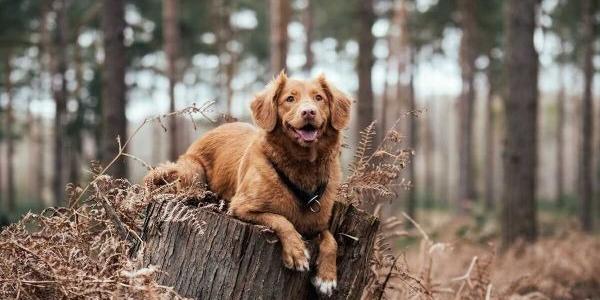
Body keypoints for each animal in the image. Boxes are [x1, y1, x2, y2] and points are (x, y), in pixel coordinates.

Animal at [145, 72, 350, 296]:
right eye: (290, 98)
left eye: (319, 98)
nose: (309, 112)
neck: (302, 167)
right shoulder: (242, 207)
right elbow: (281, 220)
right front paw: (296, 251)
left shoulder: (317, 224)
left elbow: (331, 240)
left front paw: (327, 277)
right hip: (193, 172)